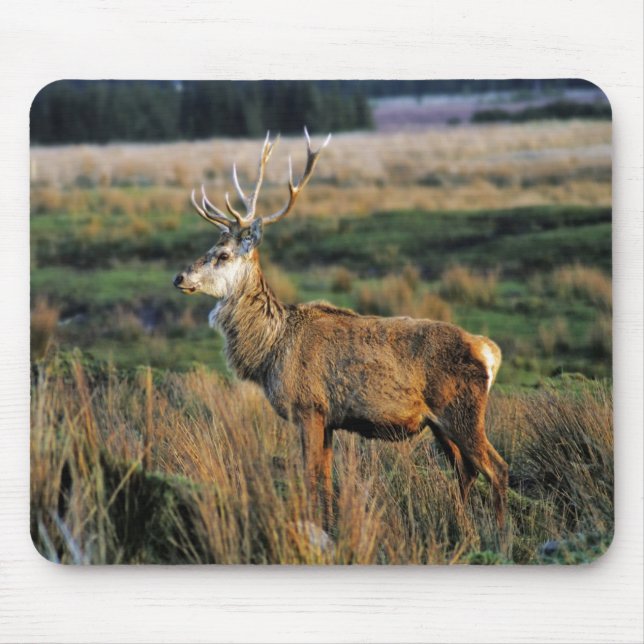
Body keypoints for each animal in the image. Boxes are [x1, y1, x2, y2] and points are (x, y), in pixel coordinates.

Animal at [173, 129, 509, 532]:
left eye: (222, 255)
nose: (179, 277)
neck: (271, 351)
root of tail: (489, 351)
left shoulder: (308, 406)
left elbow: (310, 477)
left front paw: (314, 526)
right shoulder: (330, 418)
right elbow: (325, 479)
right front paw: (331, 524)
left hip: (463, 410)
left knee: (497, 468)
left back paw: (500, 534)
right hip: (441, 423)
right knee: (466, 470)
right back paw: (462, 528)